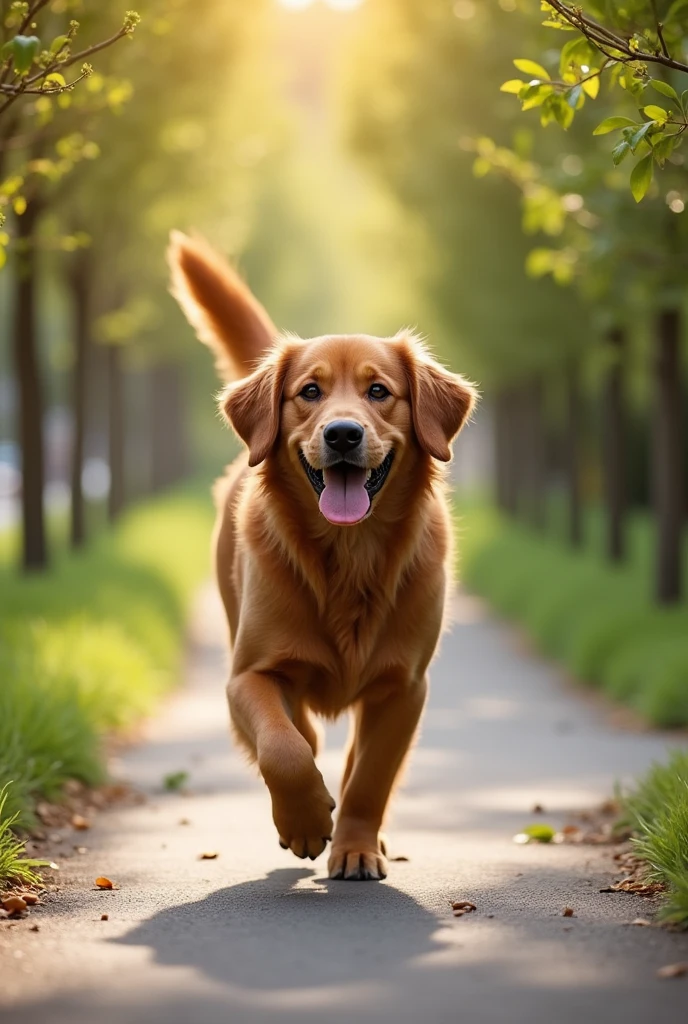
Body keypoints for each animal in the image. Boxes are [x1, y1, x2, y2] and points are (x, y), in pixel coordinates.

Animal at [168, 232, 475, 880]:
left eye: (379, 391)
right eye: (309, 391)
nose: (342, 434)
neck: (349, 556)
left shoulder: (403, 688)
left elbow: (370, 777)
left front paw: (355, 846)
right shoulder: (247, 675)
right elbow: (286, 747)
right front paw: (306, 820)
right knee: (299, 735)